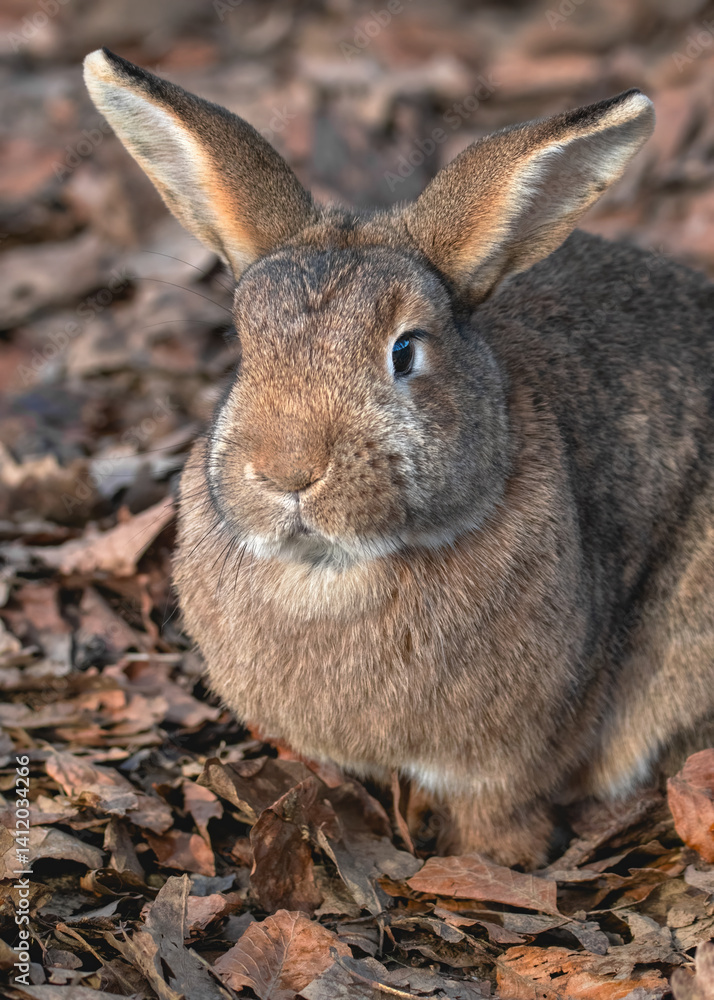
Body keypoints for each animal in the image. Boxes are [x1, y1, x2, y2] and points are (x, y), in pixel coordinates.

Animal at [84, 47, 714, 868]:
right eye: (242, 347)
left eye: (405, 352)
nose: (287, 472)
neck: (333, 573)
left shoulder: (506, 757)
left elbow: (500, 812)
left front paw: (503, 862)